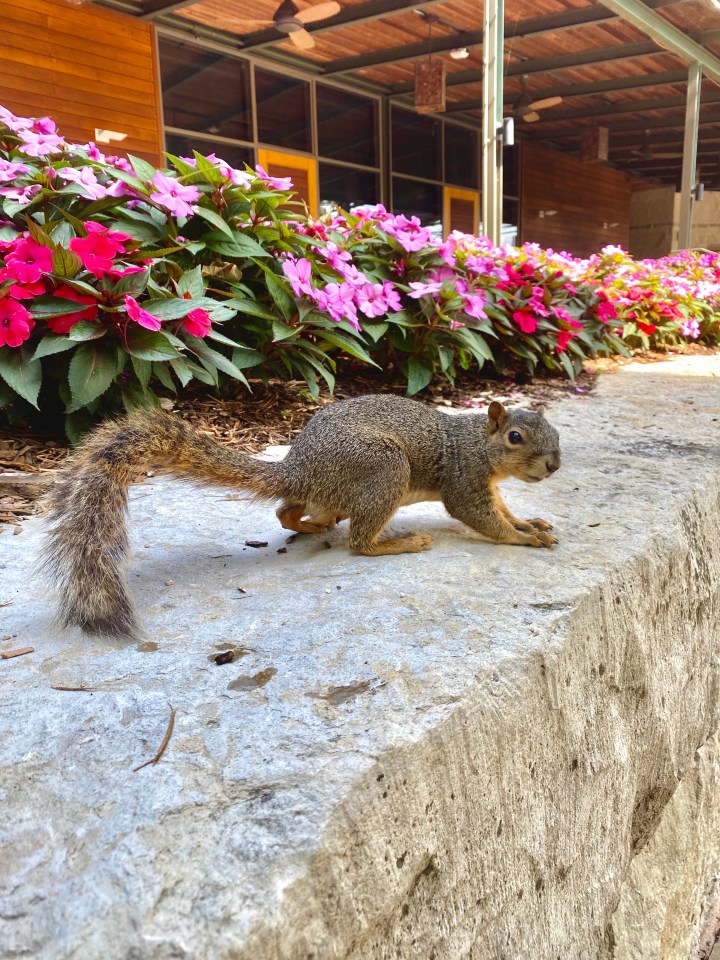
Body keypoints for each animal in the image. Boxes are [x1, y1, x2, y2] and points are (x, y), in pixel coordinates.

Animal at [43, 394, 561, 641]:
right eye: (515, 437)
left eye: (554, 433)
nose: (554, 465)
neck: (477, 442)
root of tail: (300, 466)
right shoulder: (466, 481)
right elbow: (482, 517)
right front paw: (523, 538)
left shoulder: (490, 487)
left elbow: (505, 511)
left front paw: (530, 523)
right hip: (384, 470)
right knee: (359, 541)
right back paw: (398, 542)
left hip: (332, 493)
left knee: (286, 511)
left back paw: (314, 525)